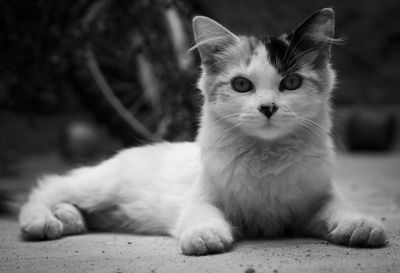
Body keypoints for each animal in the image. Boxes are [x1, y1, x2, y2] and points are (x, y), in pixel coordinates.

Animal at [19, 8, 388, 255]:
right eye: (242, 85)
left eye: (292, 83)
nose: (268, 108)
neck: (266, 156)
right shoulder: (201, 196)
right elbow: (204, 214)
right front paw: (205, 235)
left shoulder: (315, 200)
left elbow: (340, 207)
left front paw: (361, 225)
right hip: (98, 186)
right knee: (48, 186)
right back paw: (42, 222)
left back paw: (70, 219)